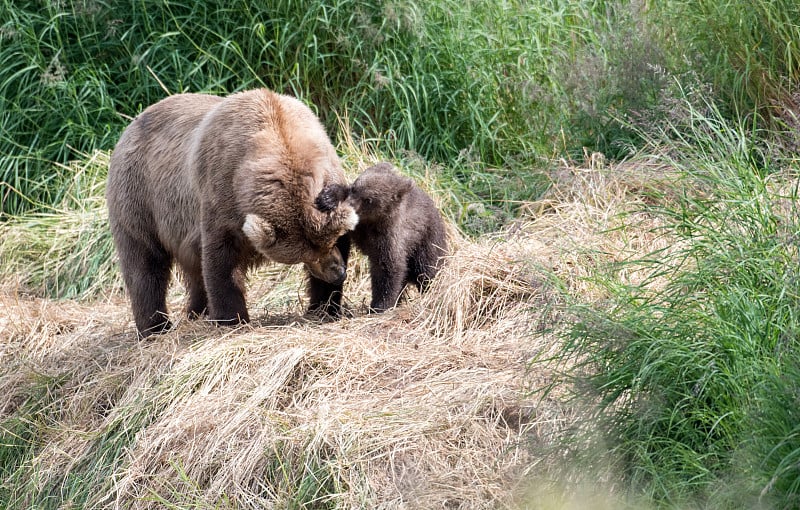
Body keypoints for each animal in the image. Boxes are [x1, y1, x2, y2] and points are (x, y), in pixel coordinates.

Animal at [108, 87, 358, 336]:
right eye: (304, 256)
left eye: (331, 243)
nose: (338, 273)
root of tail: (129, 127)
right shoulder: (221, 193)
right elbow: (221, 259)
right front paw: (232, 318)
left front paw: (325, 306)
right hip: (140, 197)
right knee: (144, 263)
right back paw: (155, 327)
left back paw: (197, 312)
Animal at [314, 162, 446, 310]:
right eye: (354, 188)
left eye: (368, 200)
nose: (348, 206)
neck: (371, 222)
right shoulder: (358, 228)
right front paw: (327, 198)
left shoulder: (389, 239)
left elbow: (387, 270)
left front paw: (380, 305)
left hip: (427, 241)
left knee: (428, 270)